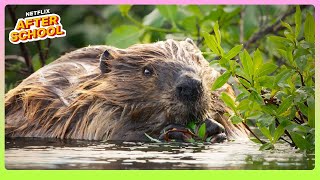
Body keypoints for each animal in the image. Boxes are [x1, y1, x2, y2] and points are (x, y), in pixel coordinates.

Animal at [5, 38, 250, 141]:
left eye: (198, 60)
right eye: (147, 70)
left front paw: (214, 128)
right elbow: (106, 132)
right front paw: (174, 132)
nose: (190, 86)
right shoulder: (89, 112)